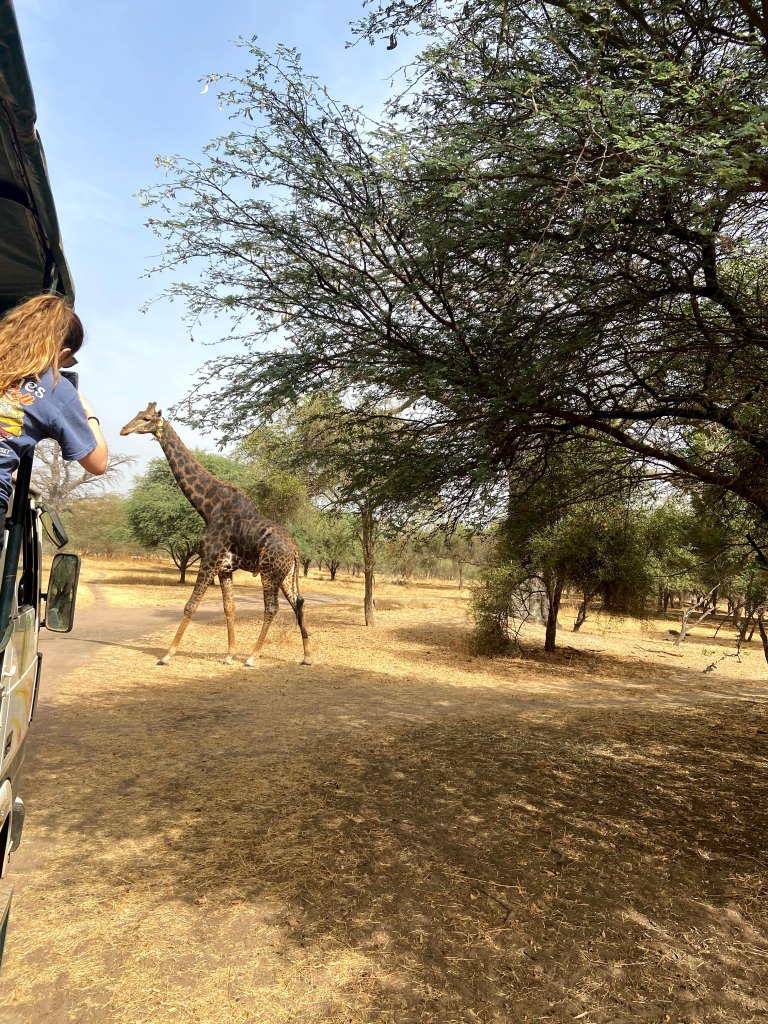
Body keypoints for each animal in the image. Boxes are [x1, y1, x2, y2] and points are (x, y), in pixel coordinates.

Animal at [120, 402, 312, 667]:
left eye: (146, 419)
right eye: (137, 415)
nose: (123, 430)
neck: (208, 507)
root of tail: (295, 550)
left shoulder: (209, 559)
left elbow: (190, 605)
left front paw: (167, 655)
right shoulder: (224, 568)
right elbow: (229, 607)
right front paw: (229, 655)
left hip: (270, 572)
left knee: (273, 608)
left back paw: (252, 657)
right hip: (285, 575)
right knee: (298, 603)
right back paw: (307, 656)